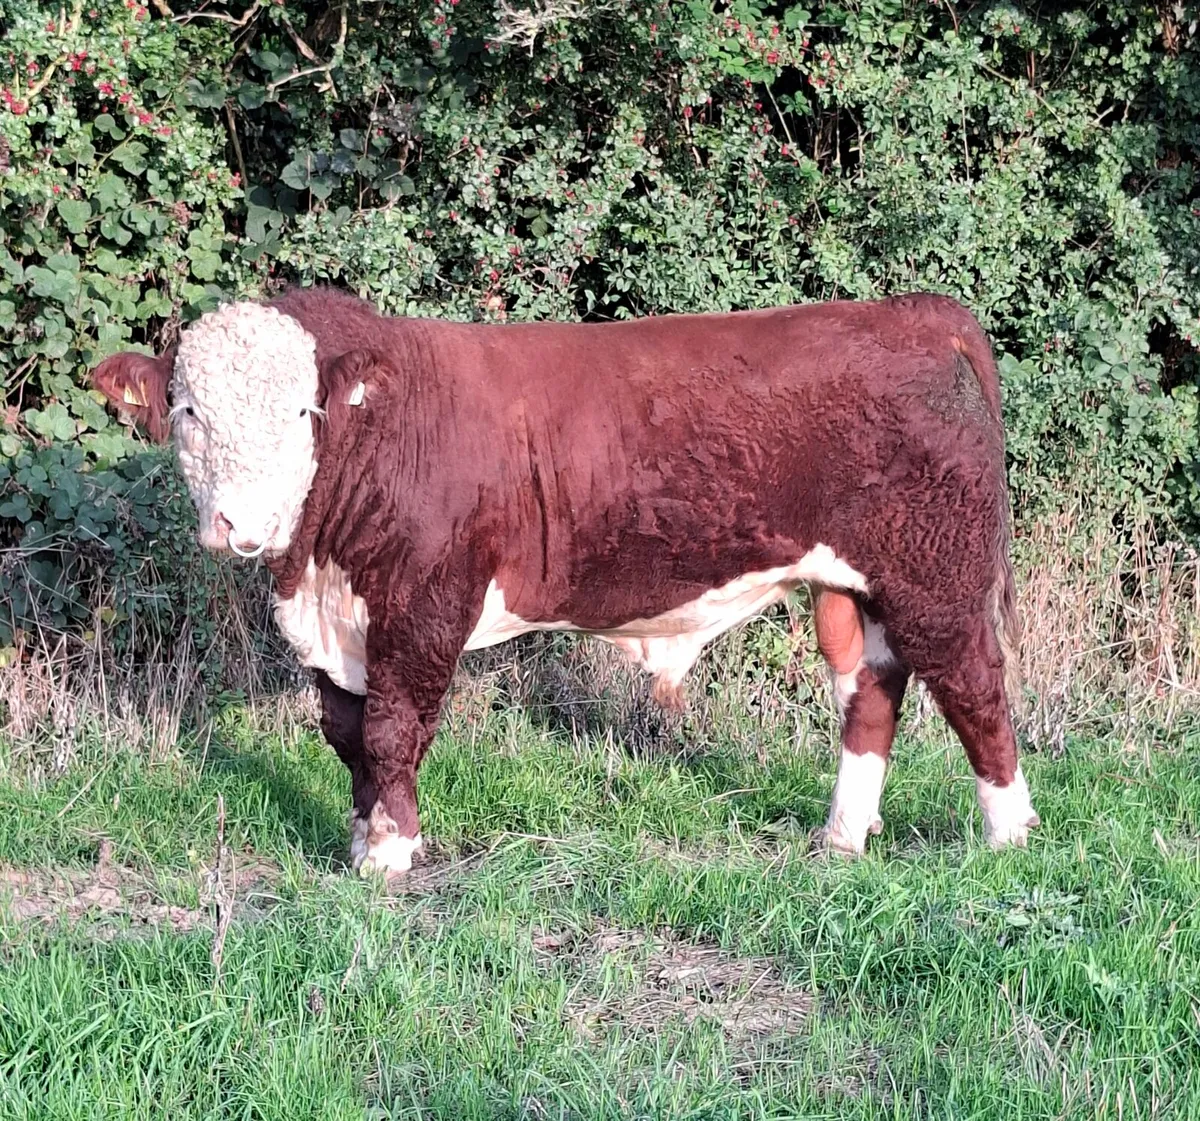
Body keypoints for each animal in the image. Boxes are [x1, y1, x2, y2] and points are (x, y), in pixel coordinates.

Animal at [92, 285, 1038, 875]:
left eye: (301, 411)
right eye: (187, 410)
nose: (240, 523)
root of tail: (915, 312)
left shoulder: (425, 603)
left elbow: (394, 731)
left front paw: (391, 857)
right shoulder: (336, 626)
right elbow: (348, 734)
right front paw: (362, 840)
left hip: (936, 575)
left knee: (976, 687)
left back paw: (1009, 836)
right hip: (848, 584)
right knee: (869, 691)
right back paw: (841, 838)